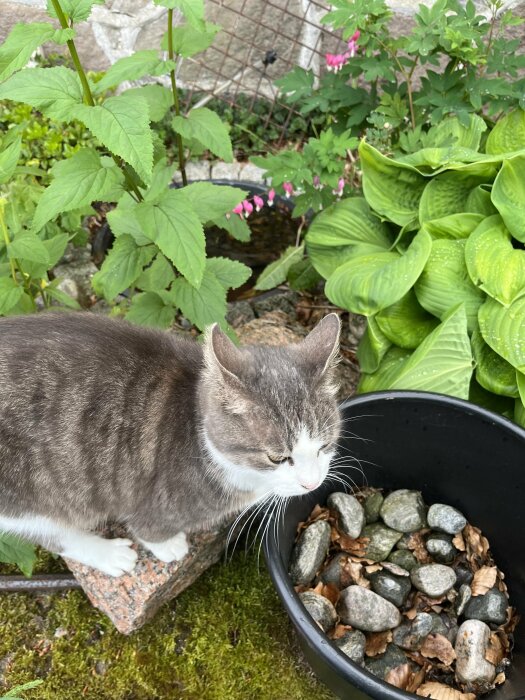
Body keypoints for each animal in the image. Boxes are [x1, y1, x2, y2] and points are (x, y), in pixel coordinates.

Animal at [0, 312, 342, 576]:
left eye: (324, 446)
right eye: (277, 457)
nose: (312, 483)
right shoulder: (154, 501)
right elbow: (148, 528)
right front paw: (168, 545)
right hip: (29, 493)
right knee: (51, 531)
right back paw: (109, 555)